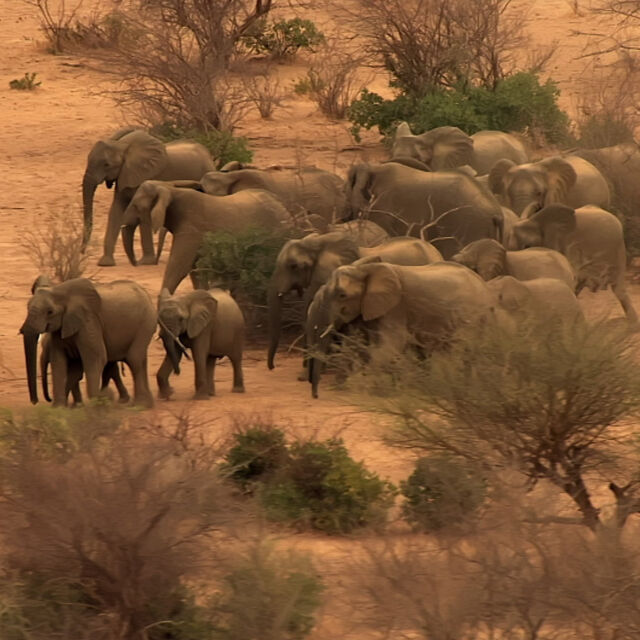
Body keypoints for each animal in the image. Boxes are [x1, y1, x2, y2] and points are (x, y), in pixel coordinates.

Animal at [20, 278, 156, 407]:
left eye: (50, 312)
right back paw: (147, 403)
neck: (59, 290)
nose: (35, 401)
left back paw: (140, 404)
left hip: (146, 322)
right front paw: (59, 407)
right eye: (26, 307)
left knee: (134, 359)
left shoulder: (88, 321)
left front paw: (97, 403)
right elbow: (58, 362)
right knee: (140, 360)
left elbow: (96, 358)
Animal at [82, 128, 215, 266]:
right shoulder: (124, 175)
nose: (83, 252)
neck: (122, 146)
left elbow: (143, 211)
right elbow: (116, 210)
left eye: (106, 165)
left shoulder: (142, 175)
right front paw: (105, 263)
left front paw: (146, 262)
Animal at [121, 180, 291, 293]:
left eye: (135, 206)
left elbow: (179, 267)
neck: (171, 189)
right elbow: (194, 269)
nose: (137, 263)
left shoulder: (191, 228)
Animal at [306, 261, 495, 396]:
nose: (316, 395)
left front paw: (370, 389)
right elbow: (355, 346)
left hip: (471, 315)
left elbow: (390, 346)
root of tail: (485, 286)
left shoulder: (395, 307)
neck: (364, 269)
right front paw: (338, 387)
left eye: (342, 295)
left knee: (459, 350)